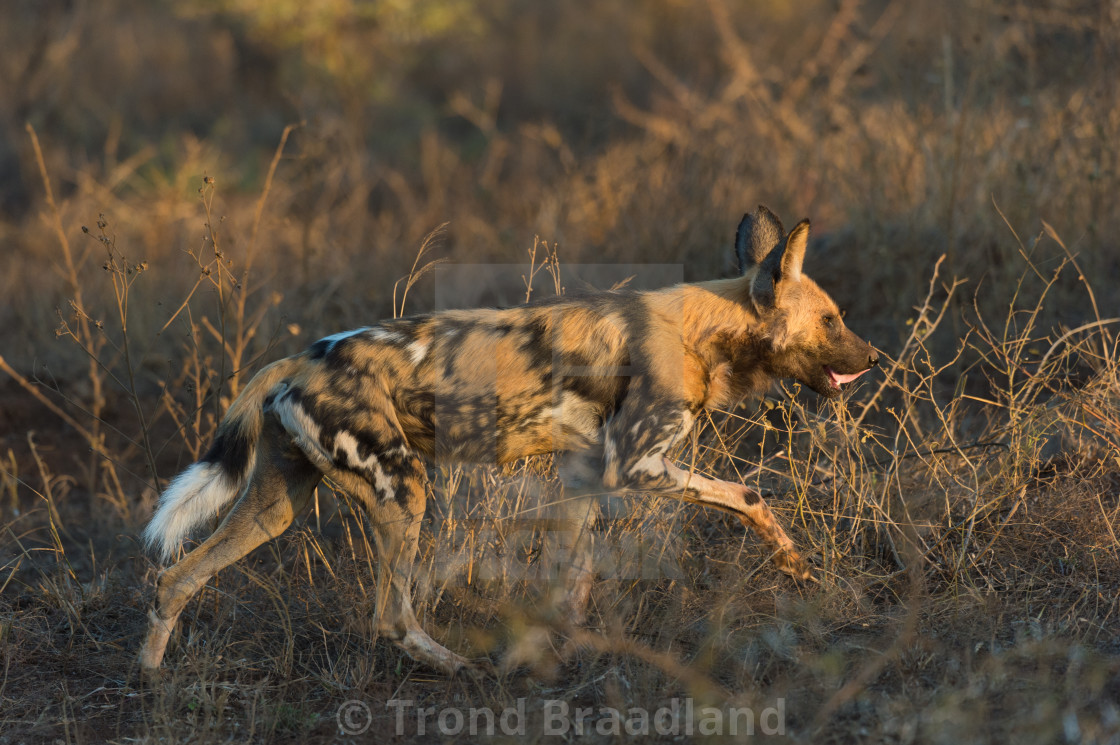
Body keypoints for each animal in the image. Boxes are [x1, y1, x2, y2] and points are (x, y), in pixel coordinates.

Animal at [137, 203, 873, 672]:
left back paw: (151, 680)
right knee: (391, 616)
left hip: (276, 505)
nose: (872, 357)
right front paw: (796, 566)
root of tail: (301, 359)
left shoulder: (583, 475)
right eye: (832, 320)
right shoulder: (637, 465)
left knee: (177, 577)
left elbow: (573, 576)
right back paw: (460, 666)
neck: (708, 330)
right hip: (404, 492)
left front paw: (560, 646)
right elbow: (750, 497)